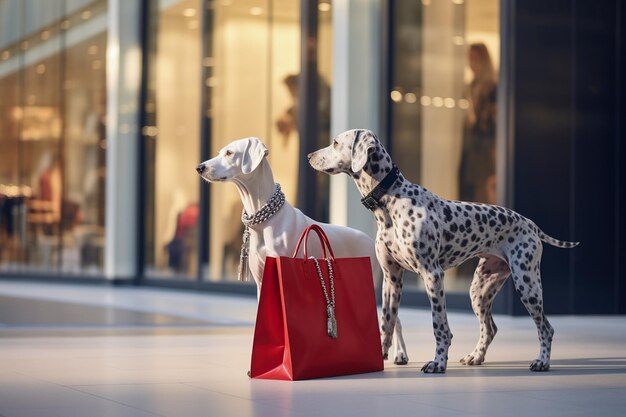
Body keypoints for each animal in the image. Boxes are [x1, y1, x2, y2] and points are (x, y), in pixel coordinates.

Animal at [196, 137, 410, 364]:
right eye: (220, 152)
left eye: (229, 153)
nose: (200, 167)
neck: (267, 222)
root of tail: (369, 238)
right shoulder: (262, 281)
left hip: (383, 284)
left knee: (395, 320)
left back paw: (400, 354)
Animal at [310, 128, 576, 372]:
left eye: (335, 142)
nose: (309, 155)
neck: (391, 201)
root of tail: (530, 223)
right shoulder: (391, 279)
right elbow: (387, 323)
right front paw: (381, 357)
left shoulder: (432, 275)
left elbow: (439, 326)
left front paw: (438, 363)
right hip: (480, 290)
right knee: (490, 328)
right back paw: (476, 357)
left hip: (527, 284)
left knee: (546, 328)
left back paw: (542, 361)